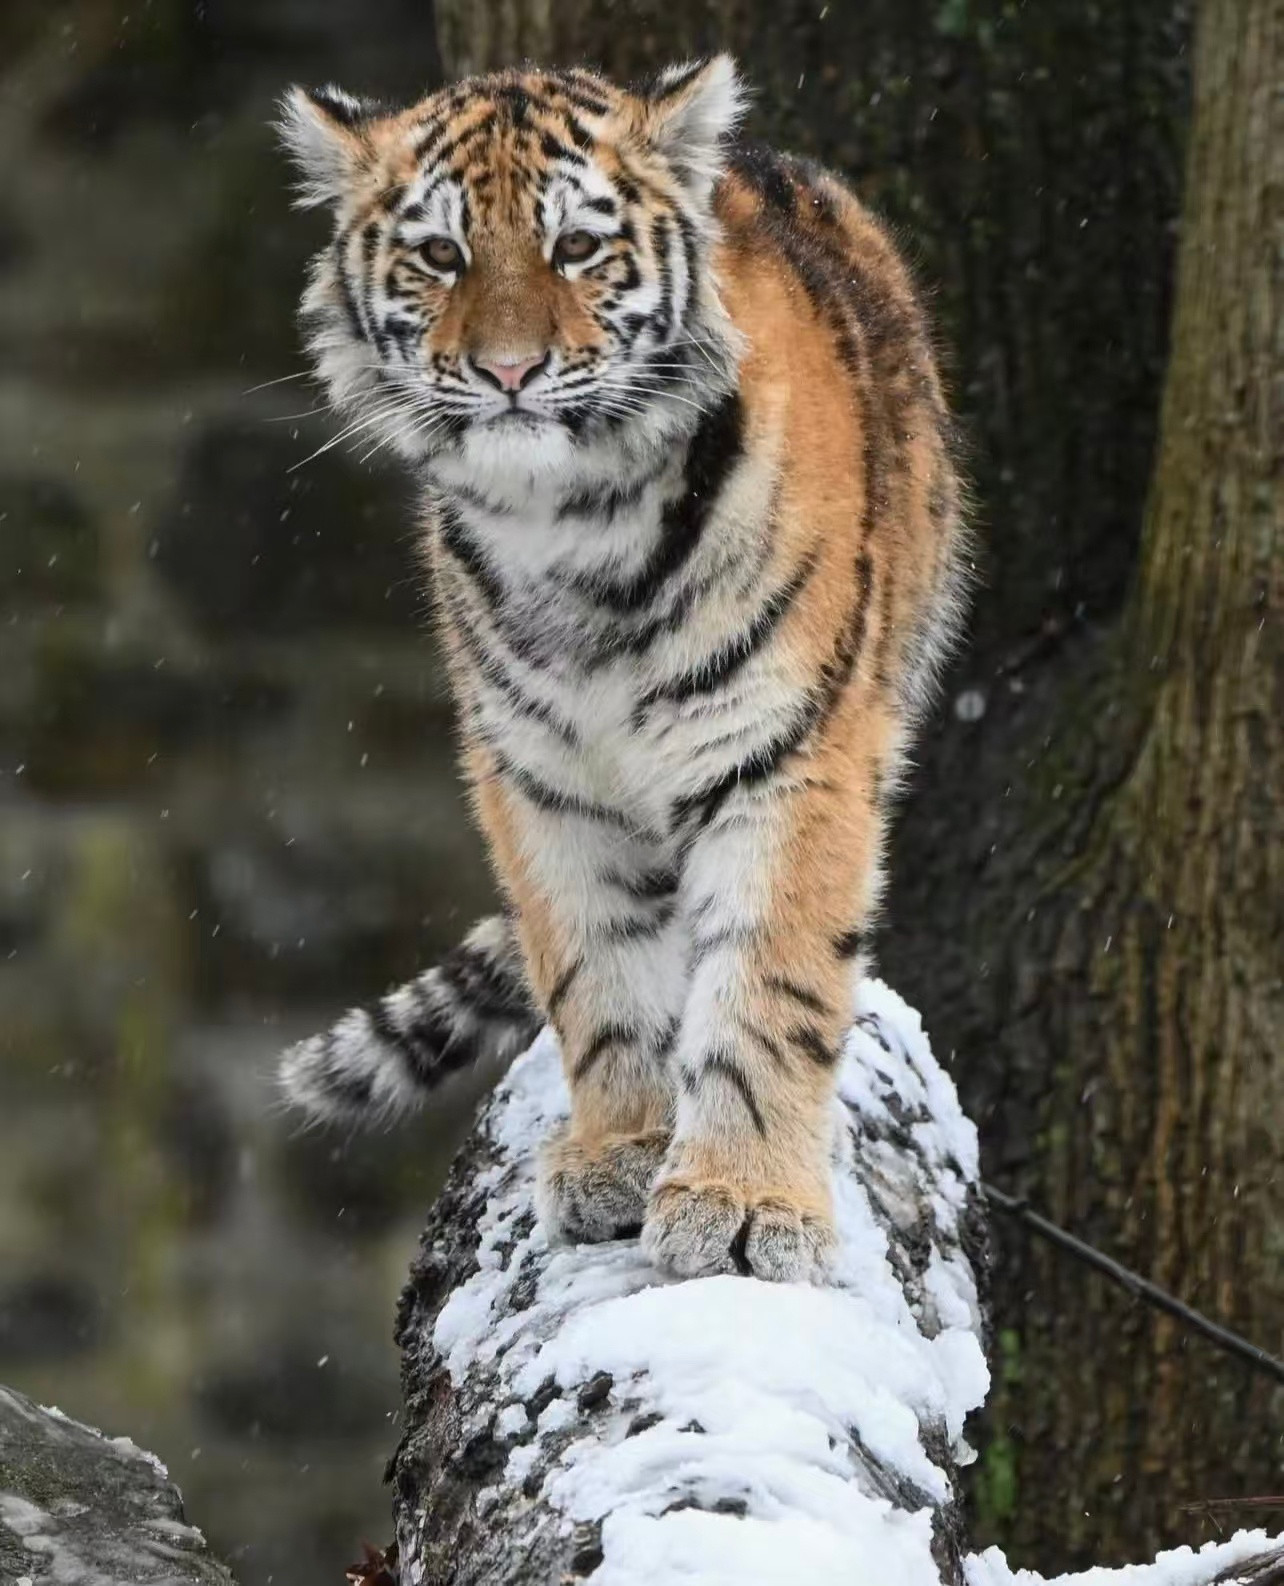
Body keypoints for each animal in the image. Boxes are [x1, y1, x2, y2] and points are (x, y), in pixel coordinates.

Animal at [275, 55, 967, 1283]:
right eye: (440, 254)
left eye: (578, 247)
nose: (508, 370)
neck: (572, 527)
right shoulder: (539, 774)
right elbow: (597, 973)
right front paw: (626, 1153)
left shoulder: (788, 752)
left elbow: (771, 979)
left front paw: (745, 1201)